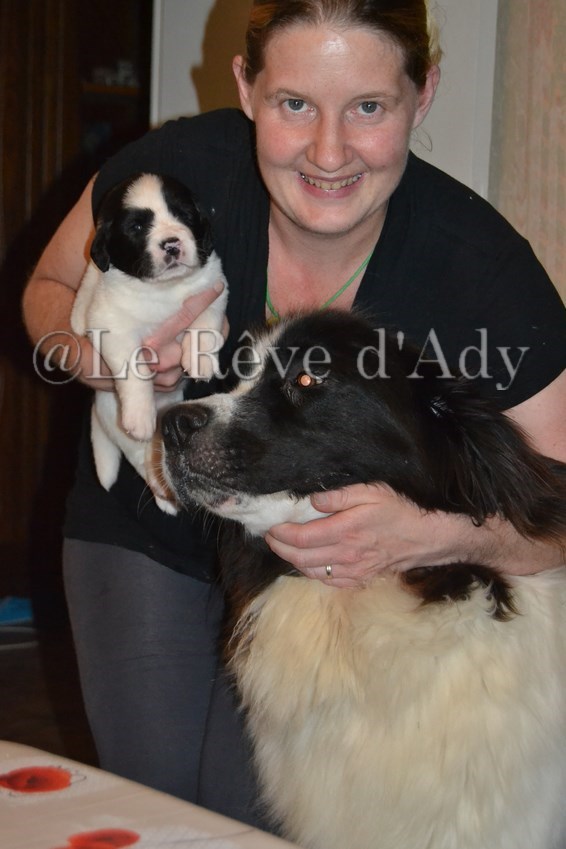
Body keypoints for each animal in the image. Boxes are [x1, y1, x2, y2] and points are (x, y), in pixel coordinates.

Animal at [71, 172, 227, 513]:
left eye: (184, 215)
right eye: (137, 228)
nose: (171, 244)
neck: (163, 290)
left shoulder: (213, 289)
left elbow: (205, 325)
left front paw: (200, 360)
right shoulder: (112, 324)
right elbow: (134, 369)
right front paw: (140, 414)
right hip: (121, 427)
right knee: (145, 462)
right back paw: (165, 494)